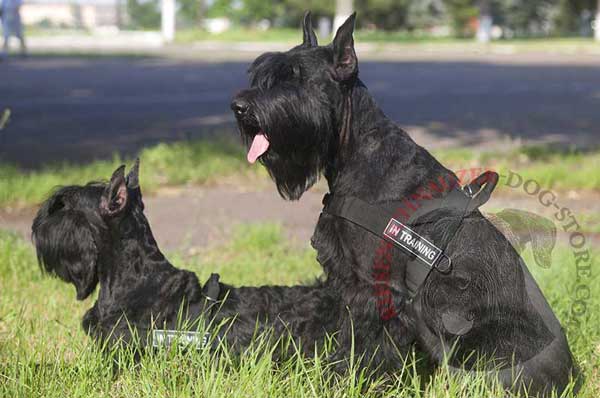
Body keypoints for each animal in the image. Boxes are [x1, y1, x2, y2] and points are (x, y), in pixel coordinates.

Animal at [232, 11, 580, 394]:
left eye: (295, 78)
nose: (239, 107)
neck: (357, 152)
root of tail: (568, 378)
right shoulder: (342, 280)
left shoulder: (375, 290)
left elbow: (364, 345)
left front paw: (347, 381)